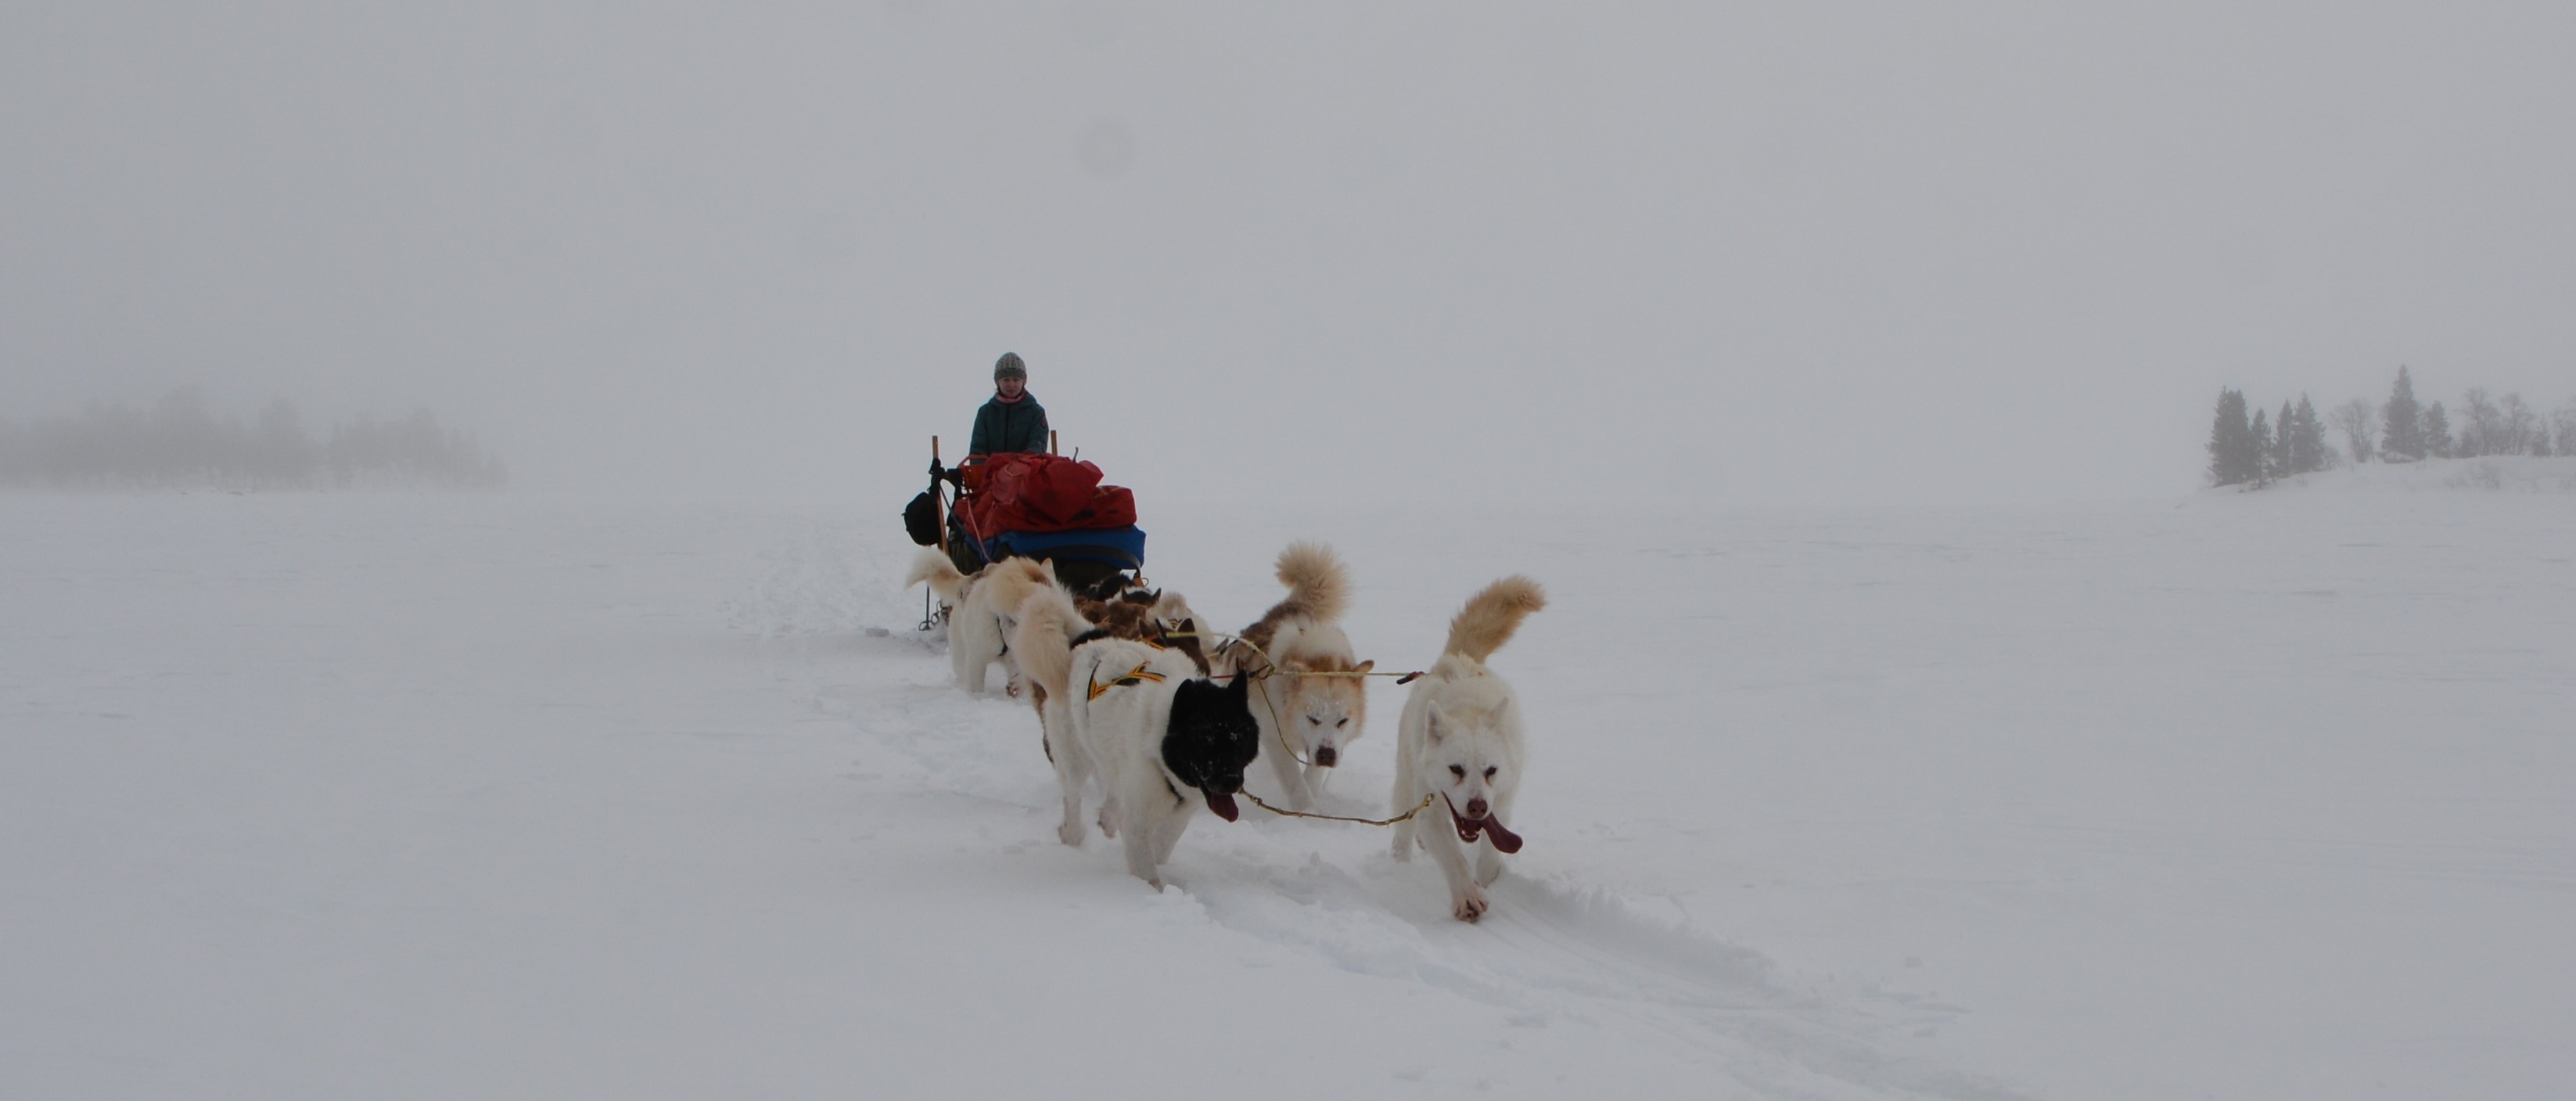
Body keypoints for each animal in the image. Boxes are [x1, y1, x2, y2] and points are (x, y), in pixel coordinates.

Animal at [1063, 637, 1260, 888]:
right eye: (1204, 738)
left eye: (1240, 736)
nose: (1231, 781)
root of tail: (1093, 643)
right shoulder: (1138, 818)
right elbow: (1147, 867)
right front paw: (1152, 888)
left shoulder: (1179, 814)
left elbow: (1162, 847)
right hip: (1075, 758)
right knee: (1072, 795)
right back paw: (1072, 834)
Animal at [1226, 542, 1372, 811]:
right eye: (1312, 718)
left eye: (1342, 721)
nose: (1327, 755)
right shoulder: (1275, 739)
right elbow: (1295, 782)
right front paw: (1305, 810)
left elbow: (1312, 777)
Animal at [1390, 576, 1544, 923]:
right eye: (1456, 769)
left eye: (1491, 770)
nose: (1476, 807)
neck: (1467, 708)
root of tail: (1458, 658)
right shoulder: (1430, 809)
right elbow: (1452, 857)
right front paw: (1467, 897)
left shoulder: (1502, 804)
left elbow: (1490, 854)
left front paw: (1484, 881)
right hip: (1406, 782)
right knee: (1403, 829)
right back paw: (1397, 862)